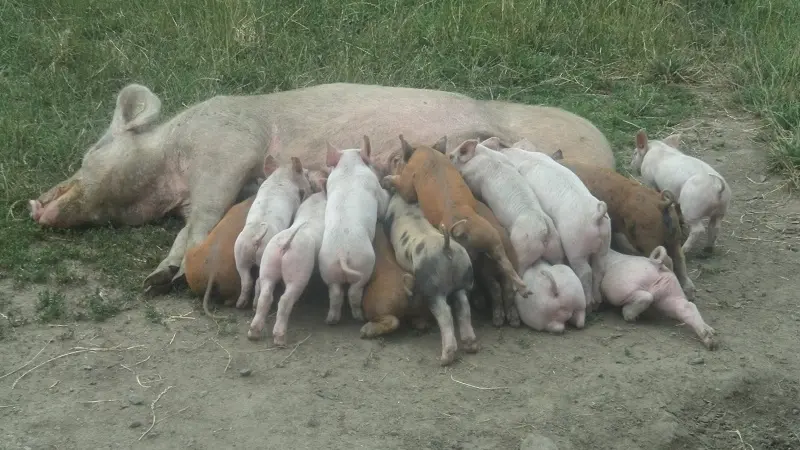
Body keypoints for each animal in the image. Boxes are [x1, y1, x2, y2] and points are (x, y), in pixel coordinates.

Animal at [25, 81, 612, 296]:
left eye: (92, 150)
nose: (33, 203)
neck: (172, 160)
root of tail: (606, 144)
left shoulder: (224, 143)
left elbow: (203, 217)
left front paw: (157, 279)